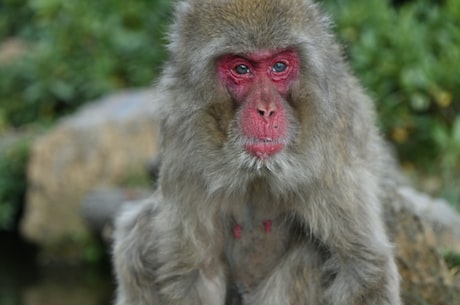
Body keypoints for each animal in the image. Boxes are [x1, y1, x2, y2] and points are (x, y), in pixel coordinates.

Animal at [112, 0, 402, 304]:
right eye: (242, 69)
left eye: (279, 65)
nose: (266, 110)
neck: (257, 169)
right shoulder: (183, 140)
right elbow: (192, 270)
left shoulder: (330, 150)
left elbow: (363, 266)